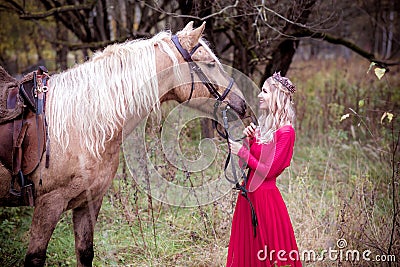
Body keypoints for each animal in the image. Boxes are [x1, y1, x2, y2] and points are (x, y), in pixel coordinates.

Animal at [0, 22, 247, 266]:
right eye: (210, 64)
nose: (242, 104)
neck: (81, 126)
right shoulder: (49, 203)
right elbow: (35, 257)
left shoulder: (89, 201)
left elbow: (85, 252)